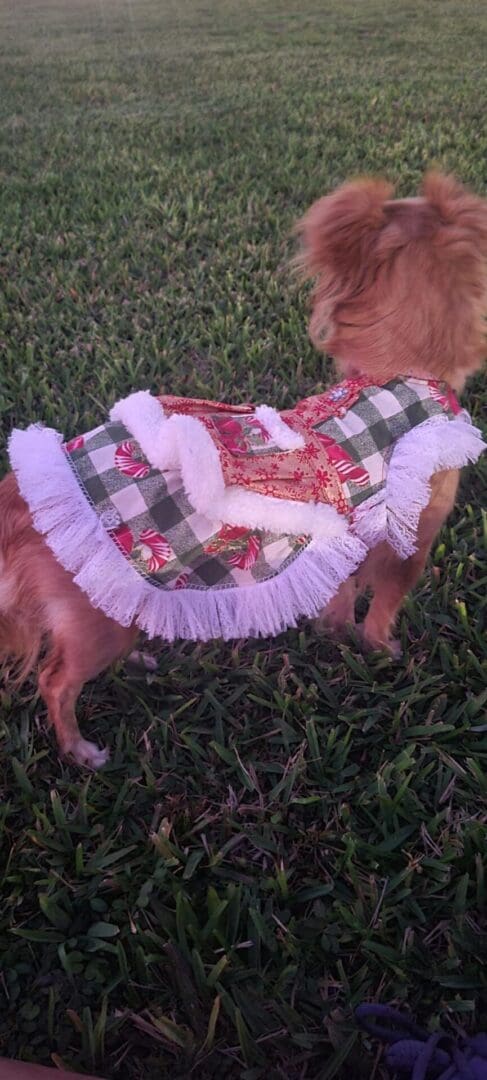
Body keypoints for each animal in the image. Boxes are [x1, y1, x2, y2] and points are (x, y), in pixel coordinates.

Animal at [0, 170, 487, 768]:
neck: (400, 371)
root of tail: (20, 494)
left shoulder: (344, 542)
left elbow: (342, 598)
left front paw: (338, 635)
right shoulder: (408, 541)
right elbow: (384, 606)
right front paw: (383, 651)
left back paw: (137, 663)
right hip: (97, 611)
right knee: (55, 681)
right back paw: (80, 749)